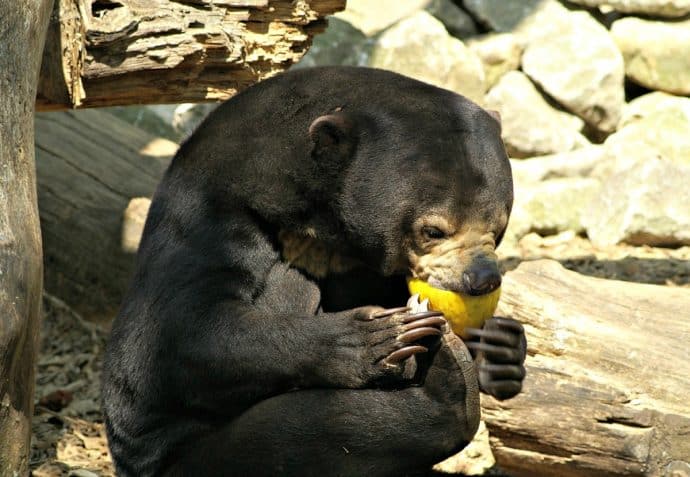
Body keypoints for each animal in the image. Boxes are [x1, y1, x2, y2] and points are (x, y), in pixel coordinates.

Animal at [101, 66, 520, 476]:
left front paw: (501, 347)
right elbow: (176, 337)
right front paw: (378, 337)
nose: (482, 280)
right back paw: (447, 381)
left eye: (499, 229)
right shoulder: (210, 213)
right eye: (433, 230)